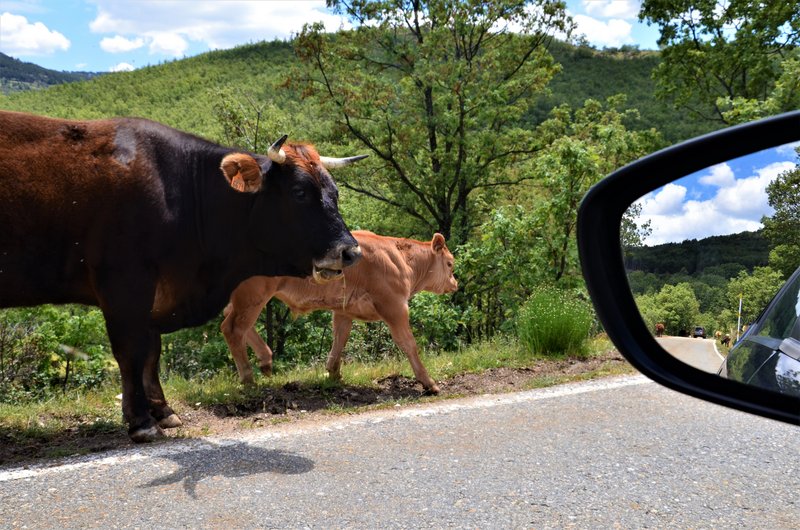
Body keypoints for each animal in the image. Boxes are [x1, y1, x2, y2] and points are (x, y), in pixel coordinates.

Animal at [0, 109, 362, 440]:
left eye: (335, 192)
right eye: (299, 192)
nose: (351, 252)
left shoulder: (156, 293)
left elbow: (152, 352)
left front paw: (163, 411)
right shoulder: (125, 285)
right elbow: (131, 352)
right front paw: (141, 421)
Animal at [220, 230, 456, 392]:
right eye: (450, 264)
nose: (455, 283)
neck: (400, 259)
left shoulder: (344, 310)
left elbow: (339, 338)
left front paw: (334, 374)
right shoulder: (395, 306)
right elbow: (409, 343)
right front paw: (429, 383)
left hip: (246, 298)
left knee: (233, 322)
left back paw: (266, 361)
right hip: (254, 295)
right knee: (233, 328)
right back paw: (248, 379)